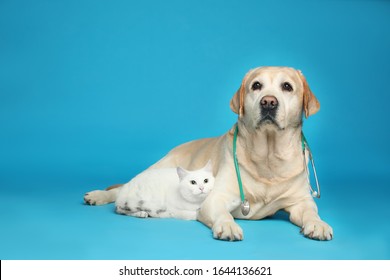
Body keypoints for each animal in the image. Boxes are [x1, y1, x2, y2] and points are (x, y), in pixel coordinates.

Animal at [84, 66, 332, 242]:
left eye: (287, 87)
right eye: (256, 85)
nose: (268, 102)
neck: (268, 158)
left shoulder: (301, 202)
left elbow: (311, 212)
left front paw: (318, 224)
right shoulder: (216, 198)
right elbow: (223, 213)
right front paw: (228, 225)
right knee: (120, 190)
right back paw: (97, 195)